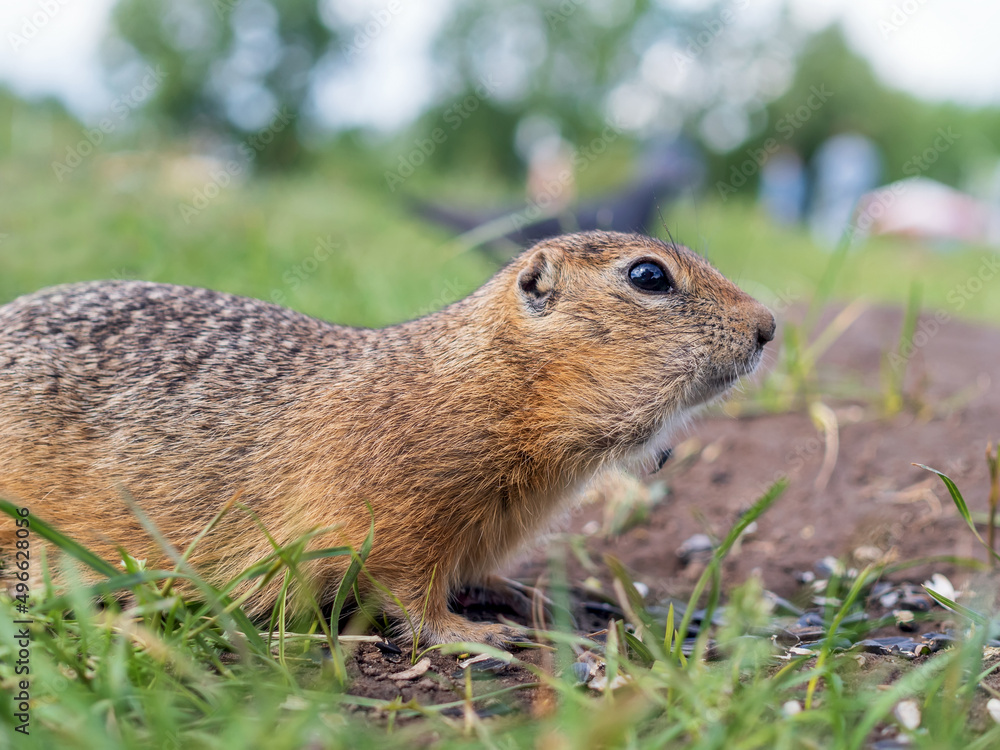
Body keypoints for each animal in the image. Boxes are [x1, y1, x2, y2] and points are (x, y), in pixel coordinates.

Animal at [0, 232, 772, 648]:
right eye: (648, 275)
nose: (769, 325)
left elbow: (477, 571)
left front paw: (537, 595)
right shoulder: (399, 508)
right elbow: (409, 591)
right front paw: (478, 635)